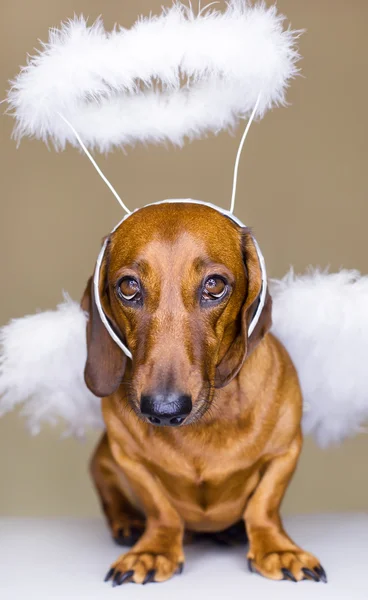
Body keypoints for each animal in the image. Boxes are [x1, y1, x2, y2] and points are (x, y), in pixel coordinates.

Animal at [82, 203, 326, 584]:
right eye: (128, 286)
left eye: (214, 284)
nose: (164, 410)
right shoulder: (126, 456)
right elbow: (160, 507)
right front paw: (153, 551)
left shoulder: (286, 450)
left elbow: (264, 504)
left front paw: (278, 549)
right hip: (102, 460)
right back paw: (128, 523)